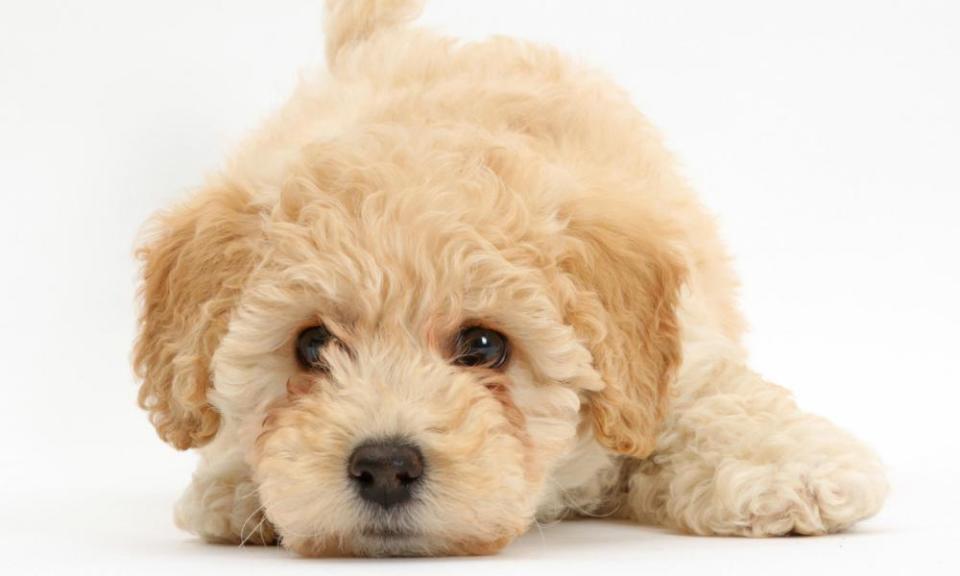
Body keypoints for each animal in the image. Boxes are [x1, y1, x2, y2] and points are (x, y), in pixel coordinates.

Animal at [133, 0, 884, 560]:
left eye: (485, 346)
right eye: (311, 345)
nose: (384, 466)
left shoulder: (681, 355)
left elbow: (723, 402)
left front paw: (793, 472)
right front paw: (238, 488)